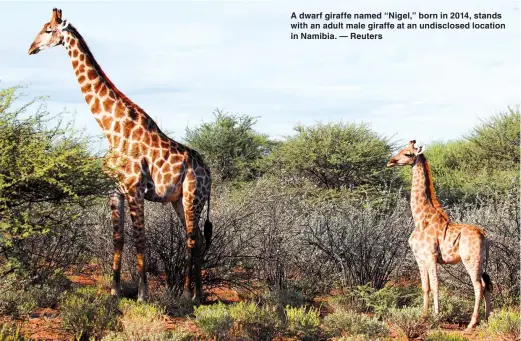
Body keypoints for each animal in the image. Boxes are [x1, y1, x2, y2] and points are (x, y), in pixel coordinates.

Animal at [29, 7, 213, 302]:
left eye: (48, 30)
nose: (31, 48)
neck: (112, 130)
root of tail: (208, 172)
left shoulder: (135, 189)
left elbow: (140, 239)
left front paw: (142, 293)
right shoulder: (114, 191)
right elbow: (119, 238)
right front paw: (115, 289)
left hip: (192, 196)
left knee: (192, 240)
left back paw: (188, 294)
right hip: (178, 200)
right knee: (194, 240)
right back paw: (198, 294)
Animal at [386, 139, 492, 330]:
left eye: (408, 154)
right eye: (401, 150)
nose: (391, 161)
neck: (421, 220)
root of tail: (484, 235)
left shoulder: (431, 256)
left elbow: (435, 285)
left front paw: (436, 317)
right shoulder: (419, 258)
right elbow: (425, 287)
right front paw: (423, 316)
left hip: (471, 260)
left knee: (478, 286)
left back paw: (471, 324)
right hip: (482, 261)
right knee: (487, 284)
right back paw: (487, 319)